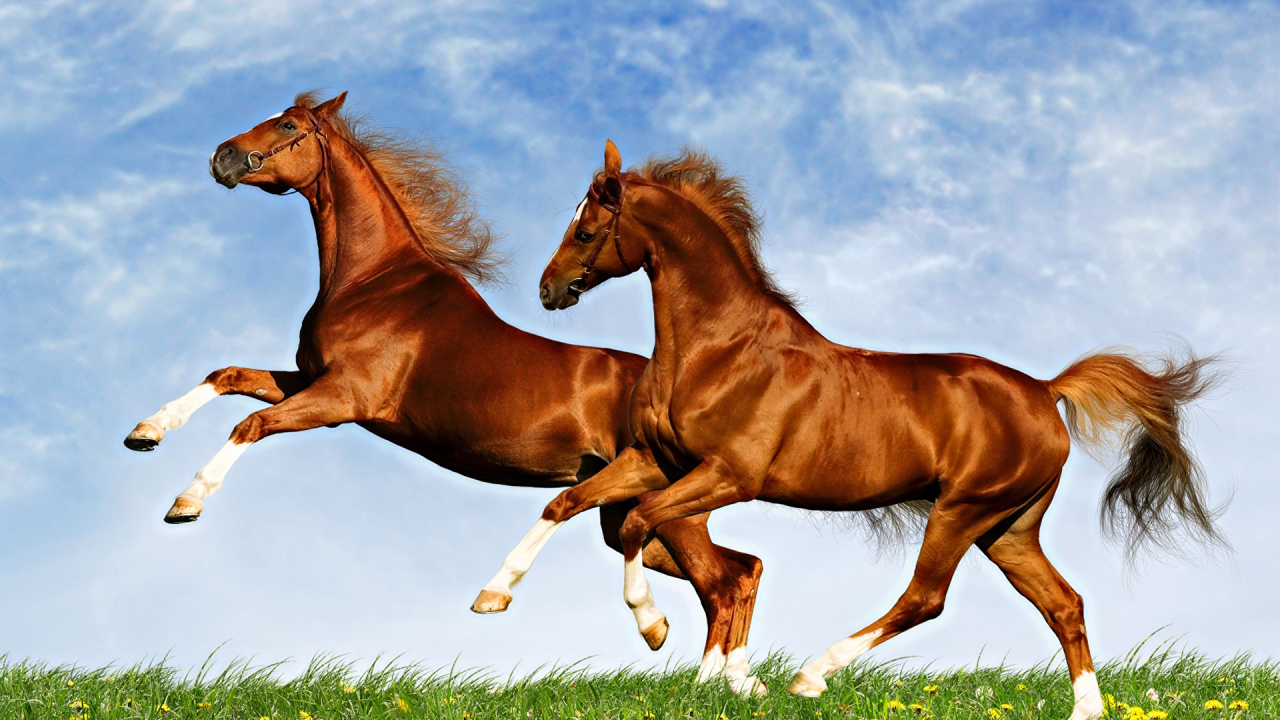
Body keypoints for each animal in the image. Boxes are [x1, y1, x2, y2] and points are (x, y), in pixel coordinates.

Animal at [123, 94, 766, 684]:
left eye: (287, 126)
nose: (222, 157)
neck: (374, 281)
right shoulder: (307, 381)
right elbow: (225, 377)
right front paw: (146, 432)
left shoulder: (341, 400)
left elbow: (248, 424)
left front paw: (186, 503)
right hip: (629, 514)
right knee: (743, 569)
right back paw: (733, 678)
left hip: (667, 512)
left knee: (723, 583)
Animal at [483, 140, 1225, 716]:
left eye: (585, 231)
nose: (549, 289)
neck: (720, 348)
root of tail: (1045, 391)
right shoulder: (654, 460)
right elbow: (566, 502)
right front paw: (492, 597)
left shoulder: (728, 476)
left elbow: (641, 523)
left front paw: (654, 627)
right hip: (1008, 527)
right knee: (1064, 604)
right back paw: (1086, 710)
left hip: (962, 511)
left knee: (926, 598)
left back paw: (810, 676)